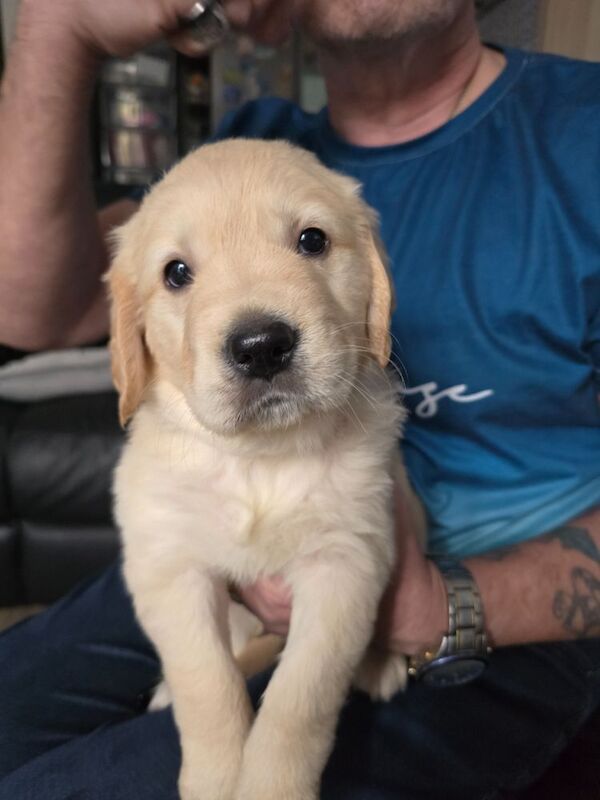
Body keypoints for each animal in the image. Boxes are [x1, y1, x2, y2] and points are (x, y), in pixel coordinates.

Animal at [108, 141, 418, 800]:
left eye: (312, 240)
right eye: (176, 273)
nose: (261, 346)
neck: (261, 458)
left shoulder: (345, 564)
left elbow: (299, 702)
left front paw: (268, 783)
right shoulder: (168, 566)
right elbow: (207, 684)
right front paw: (217, 776)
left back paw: (379, 662)